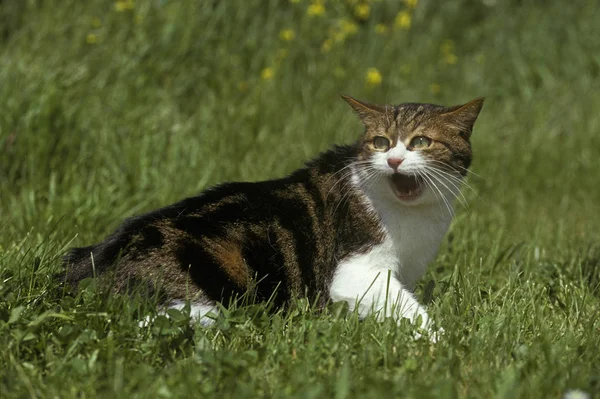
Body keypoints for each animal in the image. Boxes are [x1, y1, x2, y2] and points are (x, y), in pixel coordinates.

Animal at [62, 95, 482, 336]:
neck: (414, 216)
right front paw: (443, 344)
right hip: (207, 299)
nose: (393, 160)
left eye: (421, 142)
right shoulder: (357, 271)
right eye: (380, 142)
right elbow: (412, 311)